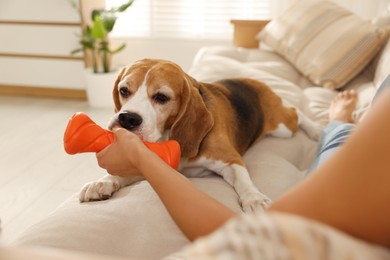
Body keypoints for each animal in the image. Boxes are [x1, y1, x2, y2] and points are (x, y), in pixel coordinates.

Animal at [79, 59, 320, 213]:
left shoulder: (231, 160)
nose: (127, 119)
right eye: (123, 90)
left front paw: (254, 199)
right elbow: (120, 174)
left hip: (282, 127)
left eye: (161, 97)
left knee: (296, 113)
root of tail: (255, 80)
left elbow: (244, 181)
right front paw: (101, 183)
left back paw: (317, 130)